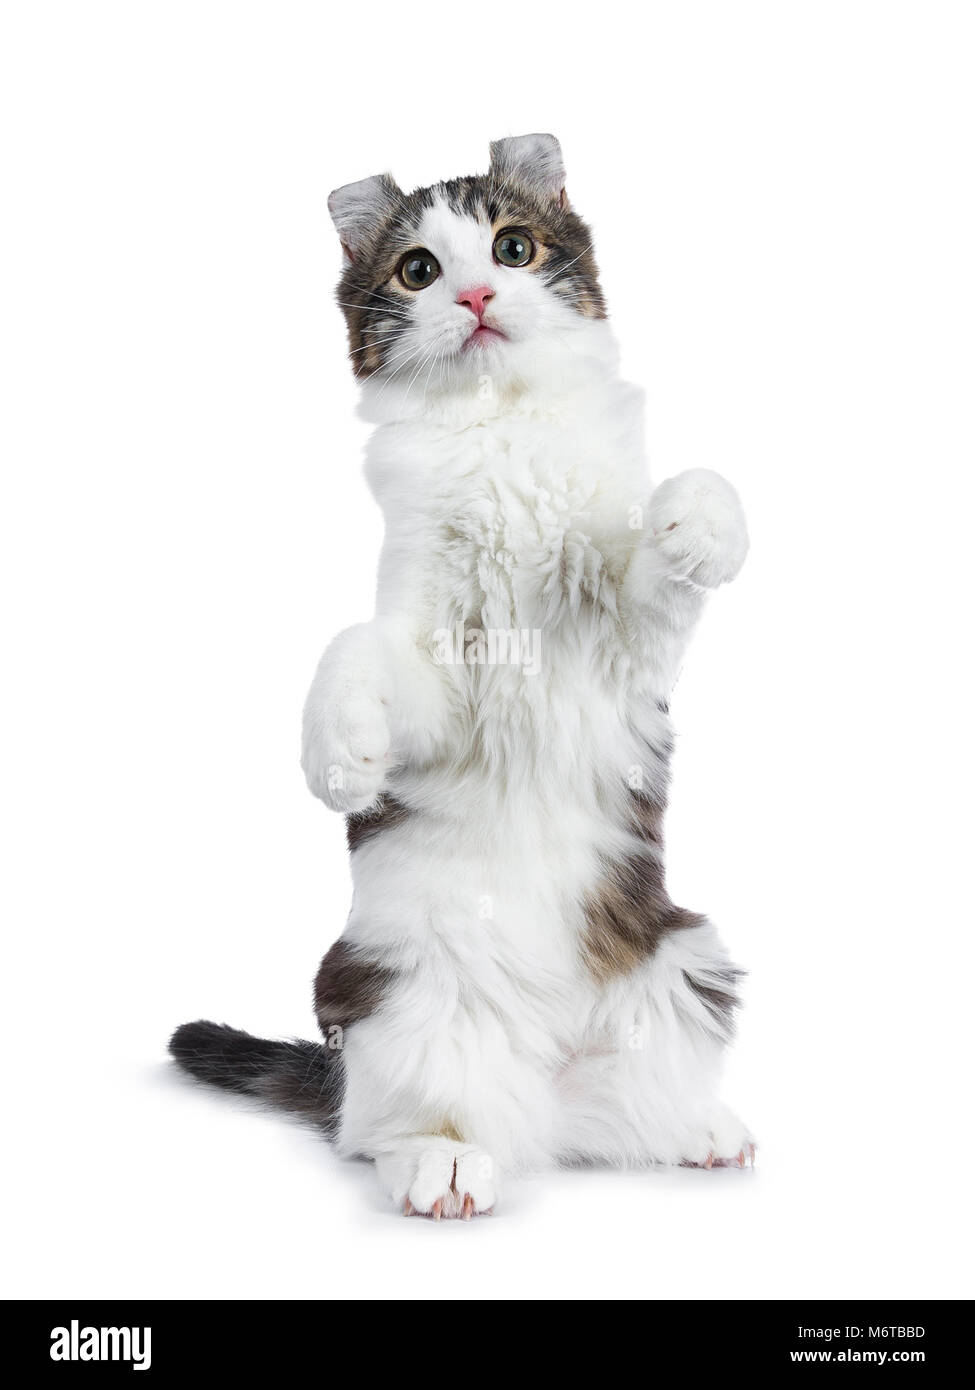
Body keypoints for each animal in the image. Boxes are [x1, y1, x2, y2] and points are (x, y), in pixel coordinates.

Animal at [171, 130, 751, 1217]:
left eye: (512, 246)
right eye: (418, 269)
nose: (478, 295)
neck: (499, 433)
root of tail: (546, 1090)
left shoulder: (629, 636)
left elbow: (691, 506)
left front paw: (701, 524)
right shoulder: (438, 667)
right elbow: (350, 647)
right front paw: (339, 755)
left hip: (683, 959)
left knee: (619, 1116)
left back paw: (696, 1130)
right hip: (390, 994)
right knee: (387, 1130)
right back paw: (443, 1166)